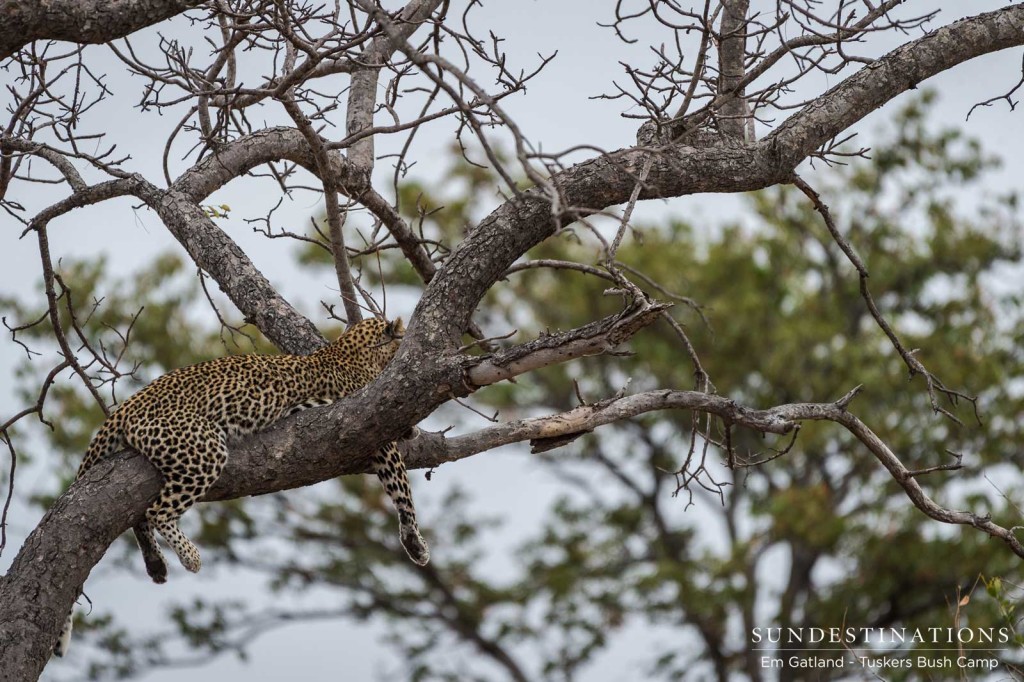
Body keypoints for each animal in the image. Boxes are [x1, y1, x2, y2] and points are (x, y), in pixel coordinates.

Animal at [50, 315, 428, 655]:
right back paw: (190, 557)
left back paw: (156, 564)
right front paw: (415, 543)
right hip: (205, 448)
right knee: (157, 511)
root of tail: (126, 405)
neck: (351, 350)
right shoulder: (376, 429)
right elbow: (402, 489)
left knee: (141, 514)